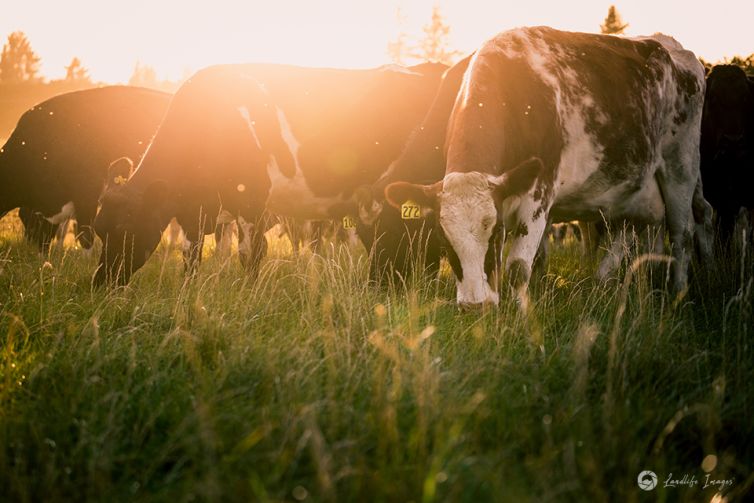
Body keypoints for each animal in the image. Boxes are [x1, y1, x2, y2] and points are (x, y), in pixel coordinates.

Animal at [93, 62, 446, 288]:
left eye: (126, 229)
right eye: (99, 230)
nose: (101, 282)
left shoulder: (250, 198)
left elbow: (250, 252)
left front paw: (247, 293)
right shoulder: (195, 208)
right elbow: (190, 253)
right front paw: (188, 291)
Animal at [382, 28, 712, 312]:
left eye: (497, 231)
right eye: (442, 237)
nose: (475, 306)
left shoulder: (539, 195)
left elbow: (518, 267)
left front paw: (518, 317)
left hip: (681, 167)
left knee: (682, 232)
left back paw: (678, 294)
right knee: (636, 228)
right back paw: (610, 281)